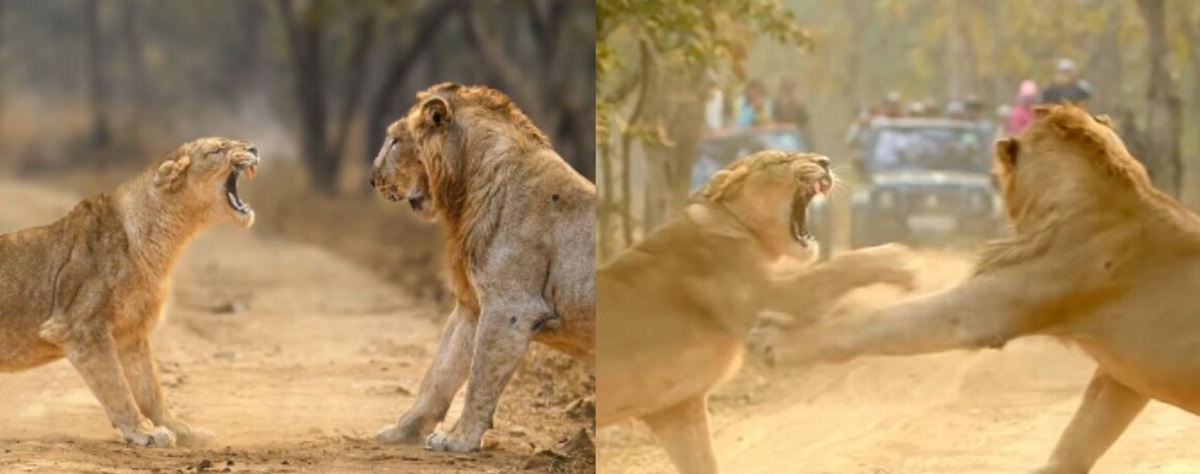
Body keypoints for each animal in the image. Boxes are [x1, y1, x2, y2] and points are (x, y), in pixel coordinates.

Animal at [0, 138, 259, 447]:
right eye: (216, 150)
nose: (254, 149)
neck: (163, 241)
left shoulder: (132, 332)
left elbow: (149, 386)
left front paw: (180, 429)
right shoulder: (81, 329)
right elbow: (116, 385)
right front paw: (144, 431)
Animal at [369, 83, 595, 452]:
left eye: (394, 141)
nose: (372, 179)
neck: (466, 191)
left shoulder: (510, 307)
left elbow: (480, 376)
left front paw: (459, 439)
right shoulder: (472, 306)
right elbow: (439, 373)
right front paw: (403, 431)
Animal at [596, 150, 918, 474]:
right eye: (780, 161)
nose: (825, 161)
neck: (734, 223)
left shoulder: (676, 410)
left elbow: (704, 463)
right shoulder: (761, 298)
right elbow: (836, 267)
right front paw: (894, 260)